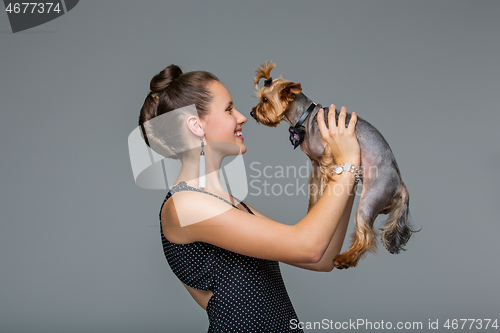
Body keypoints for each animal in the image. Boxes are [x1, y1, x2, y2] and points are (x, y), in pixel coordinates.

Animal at [250, 61, 414, 268]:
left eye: (265, 100)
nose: (252, 112)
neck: (305, 118)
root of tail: (401, 185)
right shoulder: (315, 166)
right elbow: (314, 193)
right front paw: (313, 212)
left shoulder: (327, 160)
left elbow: (325, 184)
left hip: (371, 197)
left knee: (366, 236)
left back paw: (345, 259)